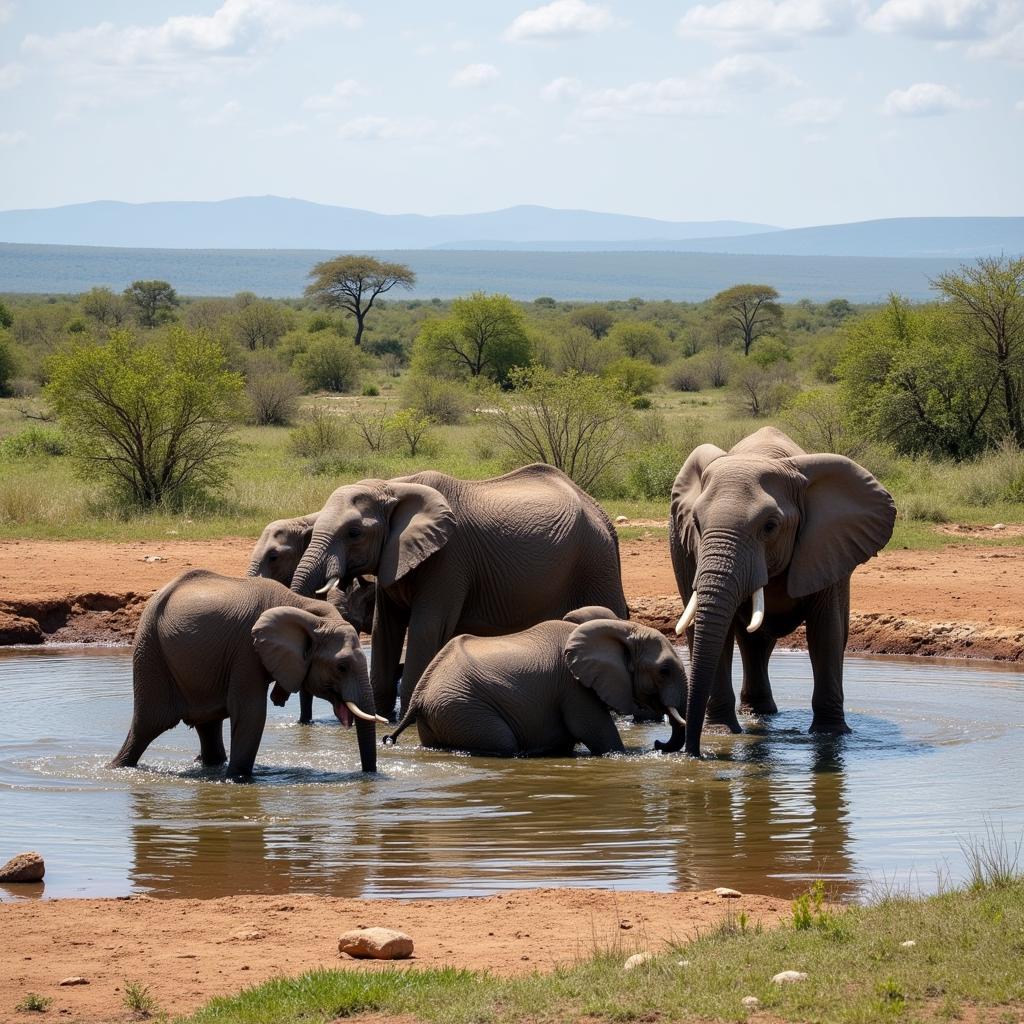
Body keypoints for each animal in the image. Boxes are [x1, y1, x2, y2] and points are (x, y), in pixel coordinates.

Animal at [109, 573, 385, 778]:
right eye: (342, 667)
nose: (367, 777)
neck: (305, 609)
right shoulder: (246, 651)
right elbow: (251, 713)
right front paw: (238, 779)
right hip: (151, 649)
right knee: (148, 724)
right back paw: (117, 767)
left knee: (207, 725)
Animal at [284, 466, 626, 720]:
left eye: (354, 533)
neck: (393, 487)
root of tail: (600, 512)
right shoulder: (394, 557)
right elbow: (386, 630)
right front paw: (382, 716)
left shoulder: (449, 560)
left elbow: (426, 628)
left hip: (596, 562)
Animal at [385, 602, 688, 757]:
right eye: (664, 671)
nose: (657, 744)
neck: (621, 630)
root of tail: (419, 696)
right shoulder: (572, 686)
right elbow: (597, 734)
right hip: (463, 708)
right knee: (503, 744)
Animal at [667, 421, 892, 753]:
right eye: (695, 522)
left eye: (770, 526)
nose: (692, 751)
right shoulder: (685, 552)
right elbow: (713, 634)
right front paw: (721, 732)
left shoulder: (829, 545)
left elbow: (826, 630)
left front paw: (830, 736)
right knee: (751, 640)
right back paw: (756, 714)